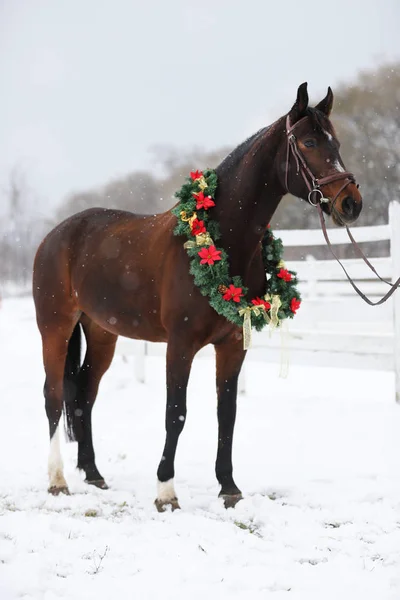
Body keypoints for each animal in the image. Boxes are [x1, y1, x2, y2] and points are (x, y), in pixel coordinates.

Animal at [32, 82, 362, 508]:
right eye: (308, 142)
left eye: (335, 142)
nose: (351, 203)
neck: (221, 239)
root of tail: (56, 234)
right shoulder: (181, 344)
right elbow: (176, 413)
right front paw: (165, 491)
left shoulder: (232, 344)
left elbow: (227, 412)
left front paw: (229, 487)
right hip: (55, 328)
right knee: (54, 395)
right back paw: (58, 480)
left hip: (102, 332)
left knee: (85, 394)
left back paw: (93, 473)